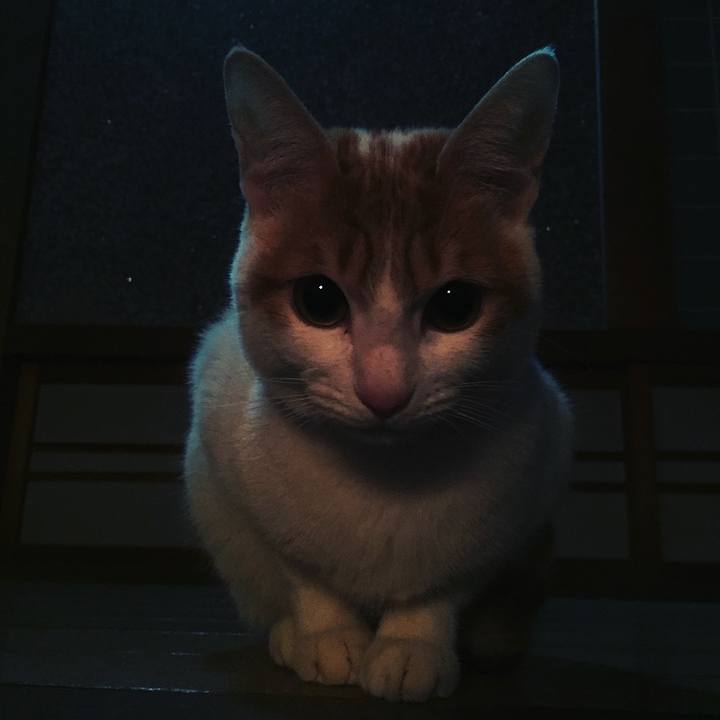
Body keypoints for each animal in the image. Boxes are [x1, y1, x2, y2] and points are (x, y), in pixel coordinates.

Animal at [184, 45, 573, 702]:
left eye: (454, 306)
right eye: (318, 299)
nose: (384, 392)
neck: (382, 480)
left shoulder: (522, 484)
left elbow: (443, 582)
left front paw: (412, 643)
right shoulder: (227, 451)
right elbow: (300, 567)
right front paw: (325, 632)